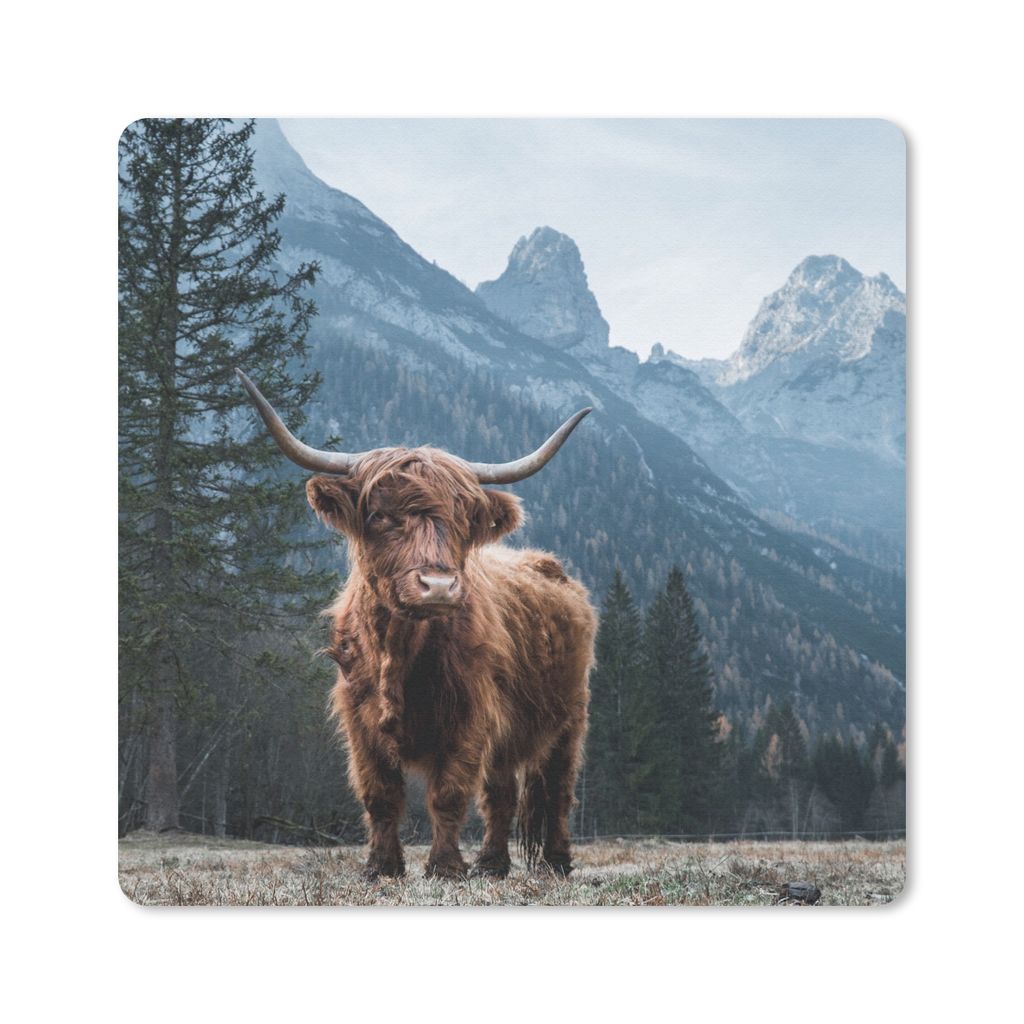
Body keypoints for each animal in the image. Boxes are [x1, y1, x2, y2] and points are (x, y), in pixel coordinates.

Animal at [236, 370, 597, 880]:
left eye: (463, 520)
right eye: (379, 515)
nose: (439, 586)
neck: (399, 651)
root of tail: (549, 565)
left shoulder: (470, 716)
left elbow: (448, 795)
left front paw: (445, 867)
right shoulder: (359, 721)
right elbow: (380, 795)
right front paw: (381, 866)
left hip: (570, 717)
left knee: (558, 790)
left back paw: (557, 863)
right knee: (502, 794)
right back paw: (492, 864)